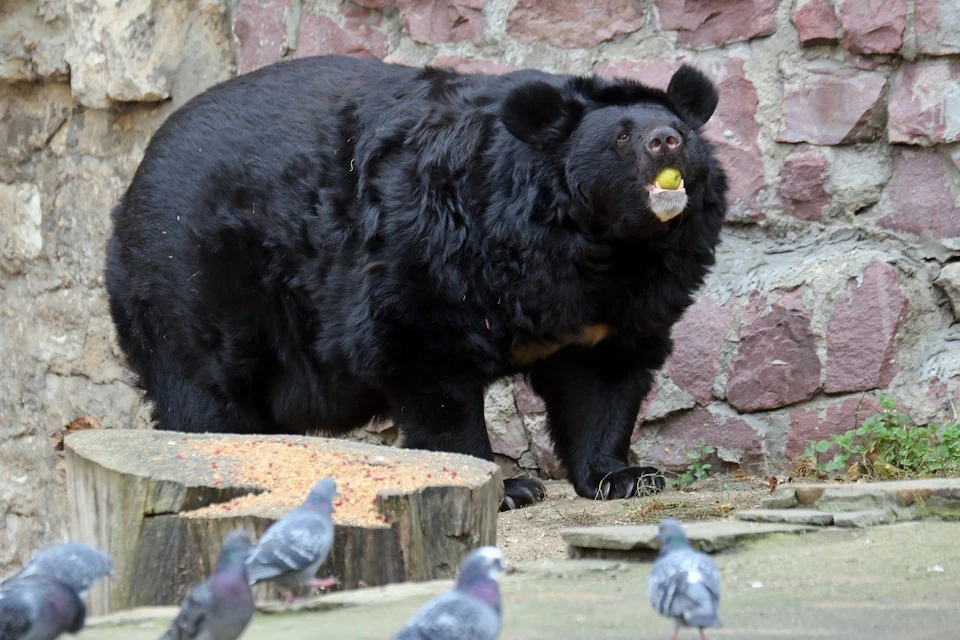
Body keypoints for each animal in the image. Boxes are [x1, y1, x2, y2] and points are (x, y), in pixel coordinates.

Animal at [105, 55, 724, 510]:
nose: (665, 141)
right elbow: (428, 365)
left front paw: (625, 476)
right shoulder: (434, 251)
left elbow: (604, 380)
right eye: (621, 137)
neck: (601, 247)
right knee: (203, 393)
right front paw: (507, 487)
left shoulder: (622, 303)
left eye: (682, 132)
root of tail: (134, 180)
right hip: (192, 279)